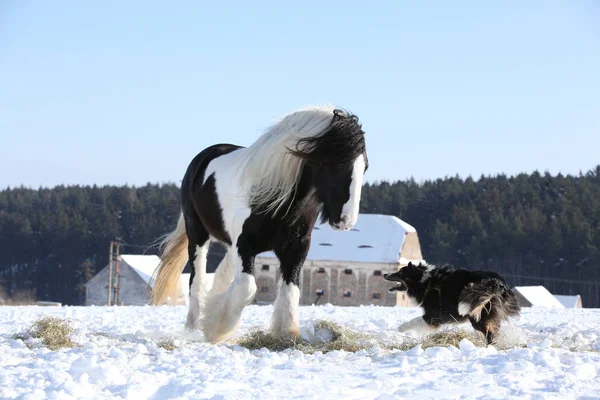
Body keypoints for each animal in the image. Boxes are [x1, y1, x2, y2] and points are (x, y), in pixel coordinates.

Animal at [151, 104, 366, 342]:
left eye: (364, 167)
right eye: (337, 165)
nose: (346, 221)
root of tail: (205, 156)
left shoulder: (296, 247)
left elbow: (290, 289)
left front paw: (287, 332)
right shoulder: (245, 245)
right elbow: (247, 287)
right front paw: (216, 329)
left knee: (222, 275)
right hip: (197, 234)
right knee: (197, 281)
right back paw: (193, 327)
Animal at [384, 262, 520, 344]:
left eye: (400, 273)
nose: (385, 274)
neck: (426, 283)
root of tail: (496, 282)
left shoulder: (434, 317)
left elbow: (413, 321)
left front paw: (400, 328)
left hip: (478, 315)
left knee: (490, 333)